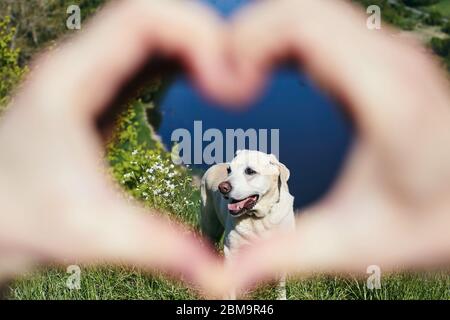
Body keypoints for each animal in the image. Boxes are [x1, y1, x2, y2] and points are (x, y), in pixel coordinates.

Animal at [200, 149, 296, 298]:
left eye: (250, 171)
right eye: (229, 170)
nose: (222, 187)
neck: (259, 218)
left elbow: (280, 284)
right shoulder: (231, 252)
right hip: (210, 226)